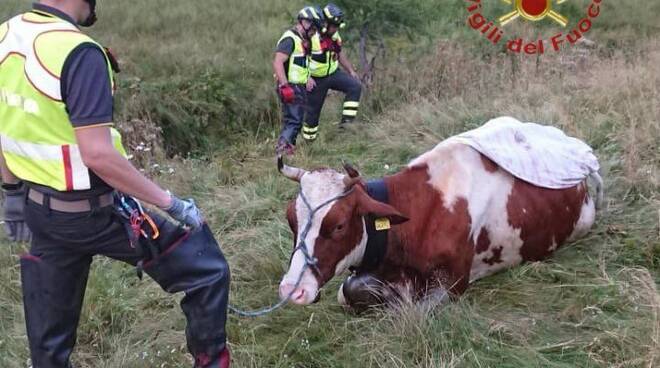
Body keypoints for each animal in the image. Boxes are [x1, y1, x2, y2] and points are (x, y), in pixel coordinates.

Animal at [276, 138, 600, 310]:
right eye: (291, 219)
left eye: (340, 225)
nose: (292, 290)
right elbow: (347, 291)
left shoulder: (454, 281)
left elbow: (415, 310)